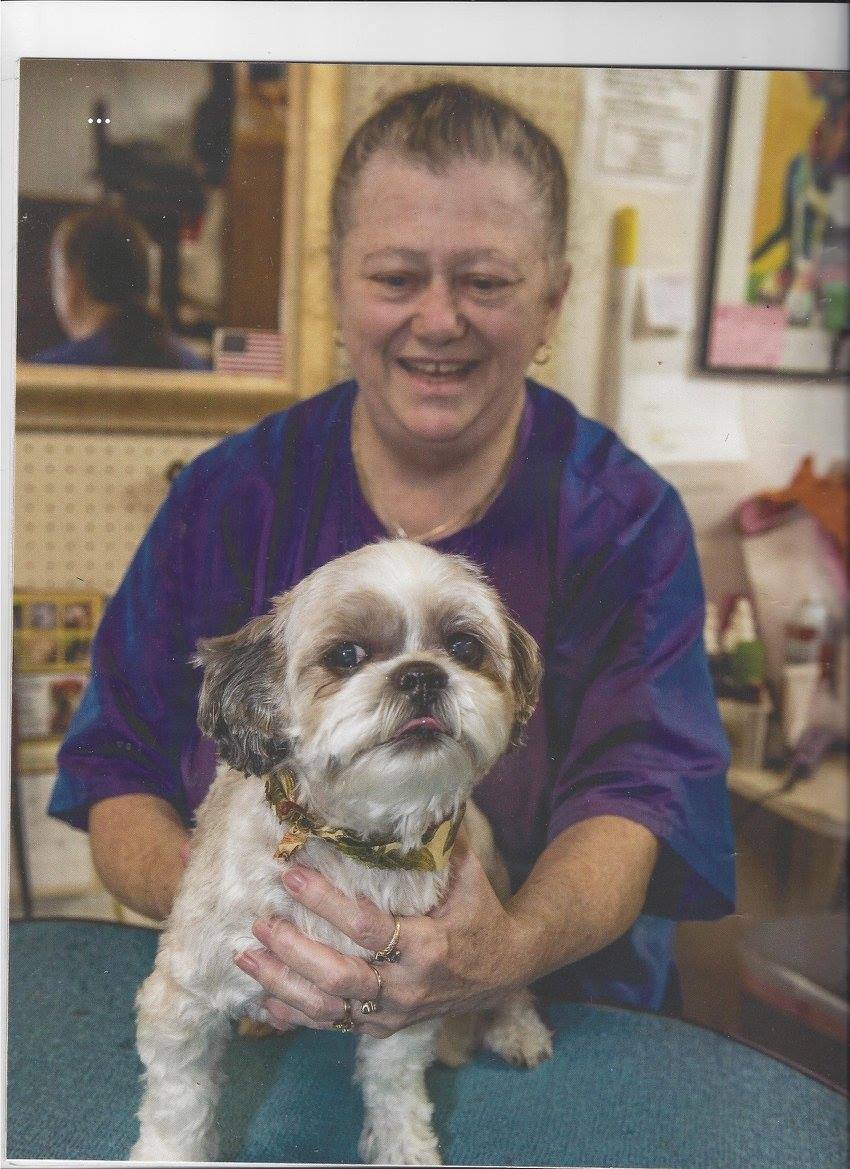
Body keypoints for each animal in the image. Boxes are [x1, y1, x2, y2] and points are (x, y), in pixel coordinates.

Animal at [130, 540, 553, 1165]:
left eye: (464, 647)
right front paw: (166, 1152)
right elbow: (178, 1105)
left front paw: (406, 1149)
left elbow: (397, 1092)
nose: (421, 674)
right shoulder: (184, 997)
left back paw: (517, 1027)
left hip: (496, 884)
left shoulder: (406, 1001)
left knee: (511, 979)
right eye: (346, 655)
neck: (355, 846)